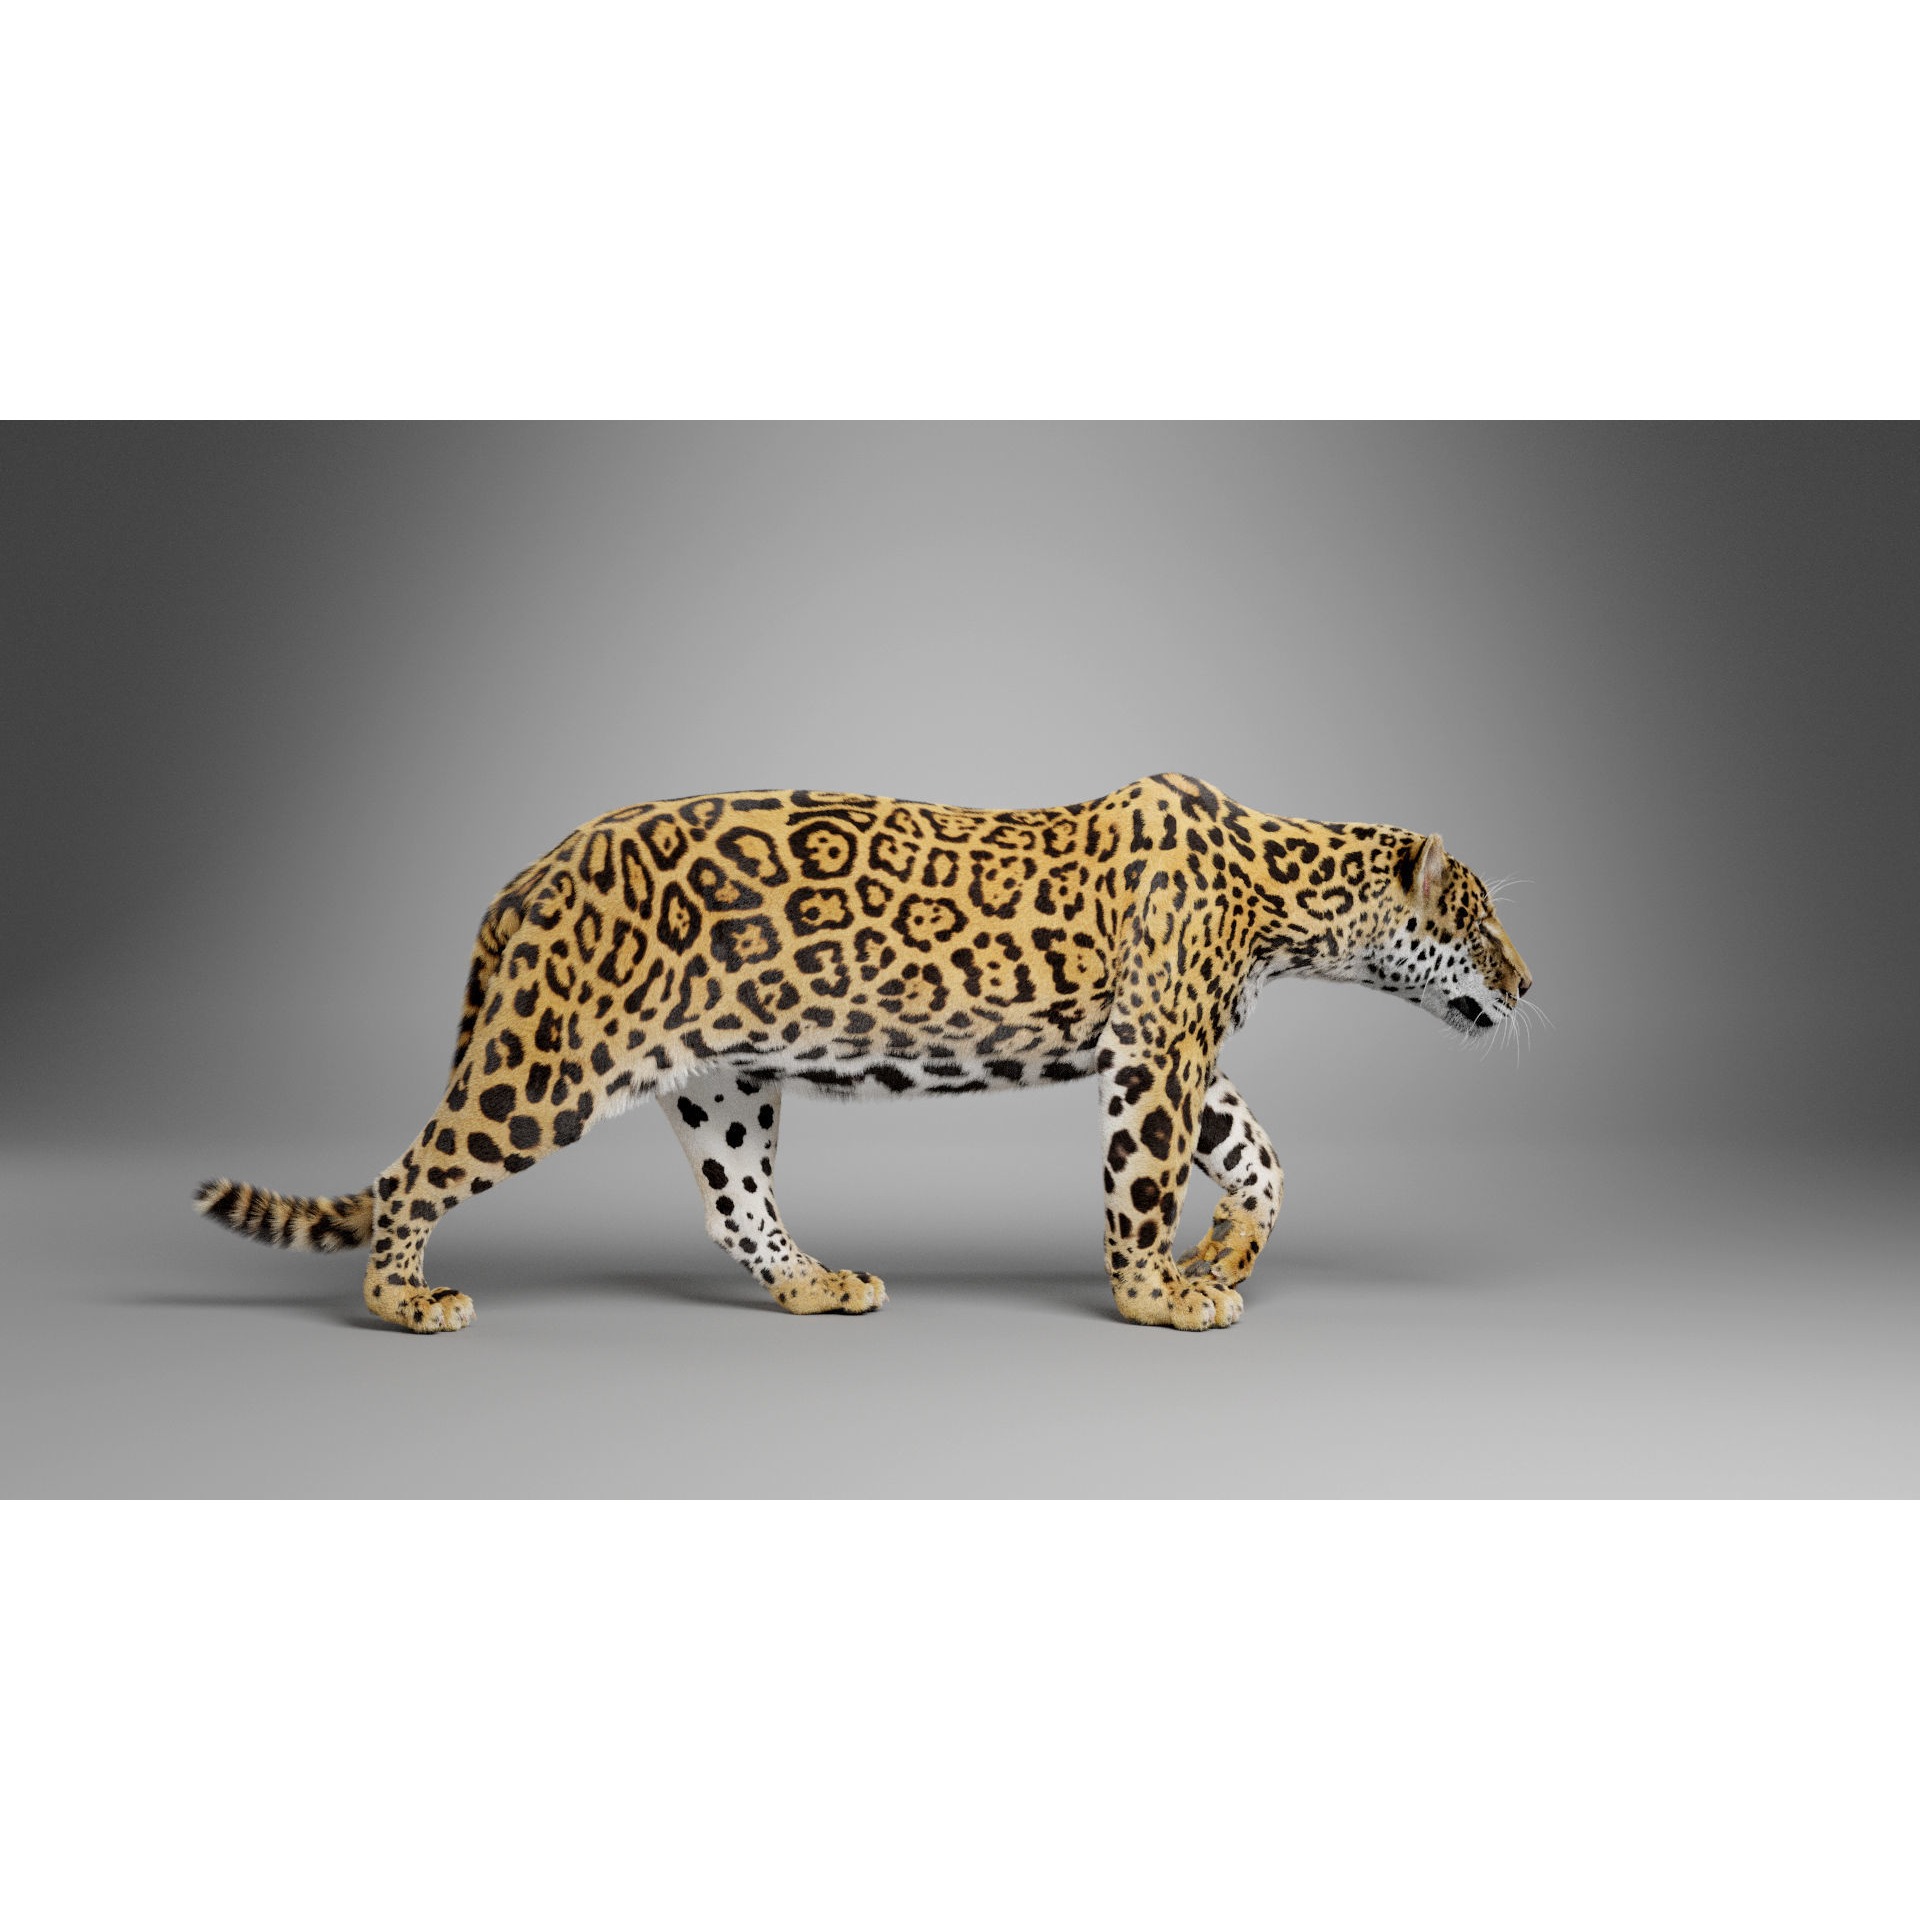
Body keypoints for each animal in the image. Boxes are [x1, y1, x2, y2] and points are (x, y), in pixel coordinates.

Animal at [194, 772, 1532, 1333]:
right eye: (1479, 923)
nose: (1528, 985)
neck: (1281, 893)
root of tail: (527, 877)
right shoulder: (1156, 1050)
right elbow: (1142, 1184)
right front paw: (1160, 1297)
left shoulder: (1178, 1044)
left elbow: (1260, 1158)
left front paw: (1225, 1253)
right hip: (544, 1067)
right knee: (412, 1173)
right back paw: (406, 1303)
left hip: (726, 1079)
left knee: (737, 1203)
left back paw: (816, 1285)